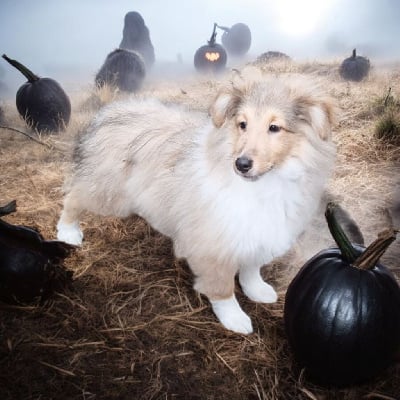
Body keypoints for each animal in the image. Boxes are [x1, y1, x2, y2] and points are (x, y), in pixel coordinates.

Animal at [56, 74, 336, 334]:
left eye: (275, 127)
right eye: (242, 124)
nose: (241, 164)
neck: (263, 184)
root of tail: (109, 110)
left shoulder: (258, 232)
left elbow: (251, 268)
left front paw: (257, 290)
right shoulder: (213, 244)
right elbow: (222, 288)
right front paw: (234, 318)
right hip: (108, 193)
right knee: (73, 197)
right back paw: (68, 232)